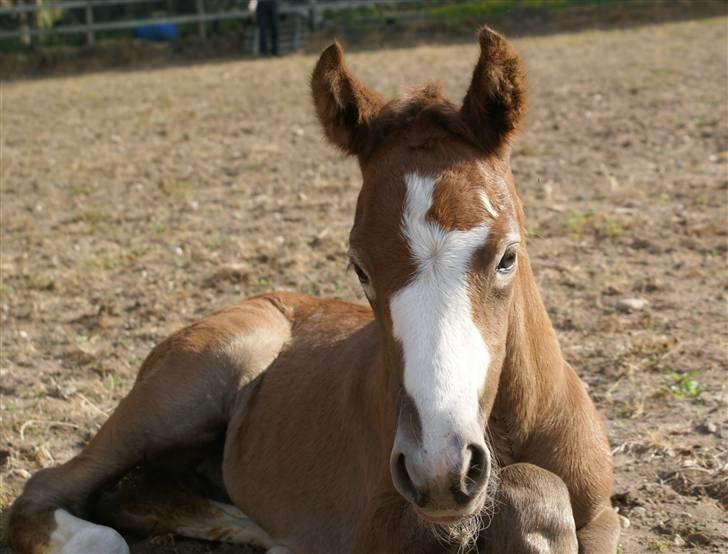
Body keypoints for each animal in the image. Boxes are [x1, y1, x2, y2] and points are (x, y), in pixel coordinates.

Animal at [5, 27, 620, 552]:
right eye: (360, 268)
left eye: (507, 256)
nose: (439, 470)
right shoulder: (376, 528)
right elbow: (528, 485)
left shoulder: (603, 516)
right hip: (188, 387)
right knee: (56, 489)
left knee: (142, 493)